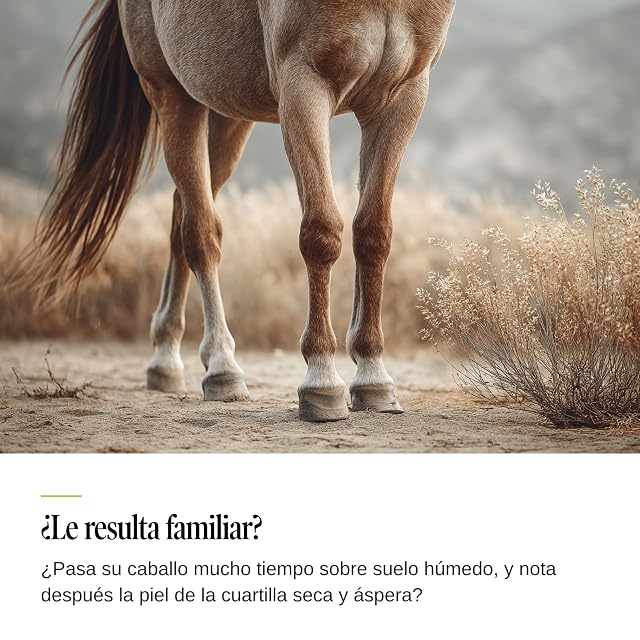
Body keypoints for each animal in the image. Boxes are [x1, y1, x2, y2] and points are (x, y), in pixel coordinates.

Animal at [24, 0, 455, 422]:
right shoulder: (303, 87)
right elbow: (321, 232)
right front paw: (321, 380)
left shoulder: (402, 96)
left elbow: (372, 232)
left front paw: (372, 377)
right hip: (174, 97)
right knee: (200, 232)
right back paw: (221, 367)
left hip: (226, 113)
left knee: (182, 215)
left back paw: (166, 358)